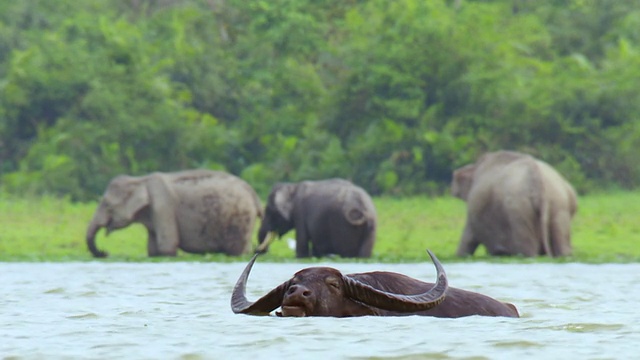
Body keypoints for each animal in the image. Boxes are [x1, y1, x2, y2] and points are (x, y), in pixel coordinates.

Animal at [86, 170, 262, 258]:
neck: (140, 180)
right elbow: (153, 249)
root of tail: (252, 192)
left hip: (241, 220)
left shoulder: (163, 207)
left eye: (107, 205)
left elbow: (167, 246)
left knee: (237, 250)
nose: (104, 252)